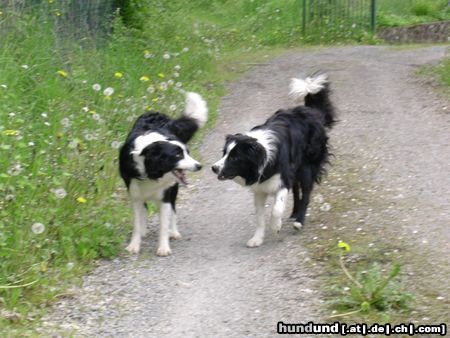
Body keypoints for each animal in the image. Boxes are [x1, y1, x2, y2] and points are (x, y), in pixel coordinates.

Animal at [121, 92, 209, 256]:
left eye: (188, 153)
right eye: (178, 155)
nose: (199, 166)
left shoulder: (166, 195)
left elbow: (164, 223)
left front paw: (163, 247)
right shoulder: (135, 193)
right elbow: (137, 222)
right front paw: (134, 245)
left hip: (173, 189)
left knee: (173, 210)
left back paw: (173, 232)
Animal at [211, 72, 334, 247]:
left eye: (235, 157)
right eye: (224, 153)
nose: (214, 168)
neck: (262, 154)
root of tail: (310, 111)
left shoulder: (282, 179)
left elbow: (276, 208)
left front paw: (276, 226)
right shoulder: (260, 189)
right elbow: (259, 217)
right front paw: (257, 238)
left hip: (307, 165)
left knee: (306, 191)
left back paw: (299, 221)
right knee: (296, 189)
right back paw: (294, 213)